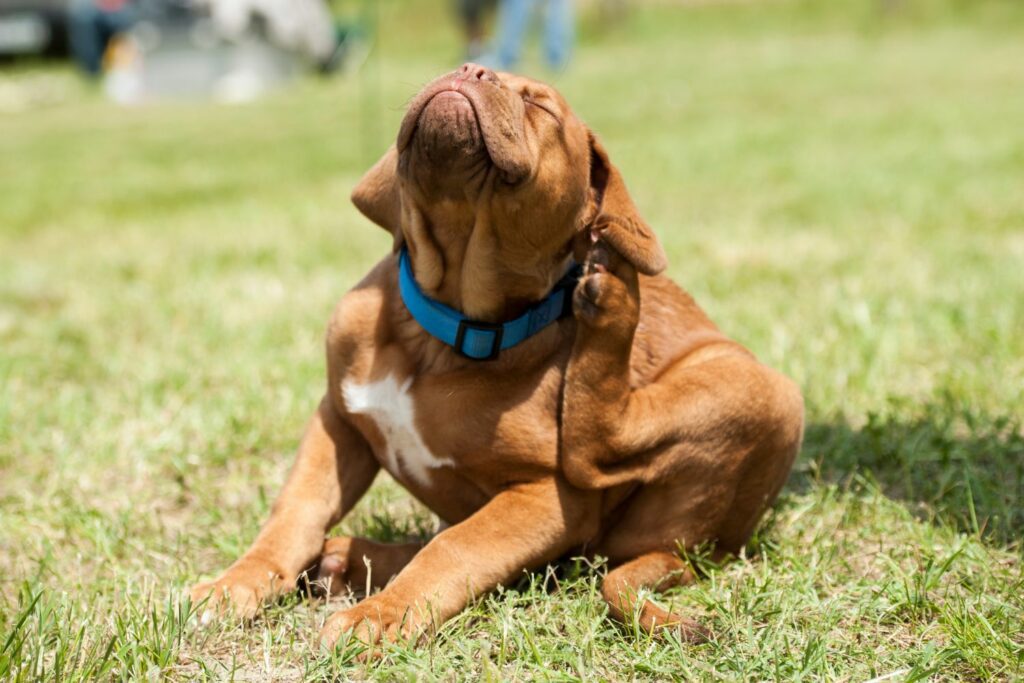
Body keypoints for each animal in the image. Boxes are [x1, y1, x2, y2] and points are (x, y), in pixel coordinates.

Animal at [188, 62, 802, 647]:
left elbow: (457, 548)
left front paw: (381, 617)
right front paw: (234, 584)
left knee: (598, 451)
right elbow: (294, 513)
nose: (470, 70)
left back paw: (614, 298)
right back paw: (348, 559)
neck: (441, 330)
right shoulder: (337, 420)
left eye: (540, 107)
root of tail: (695, 550)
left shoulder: (547, 498)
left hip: (764, 391)